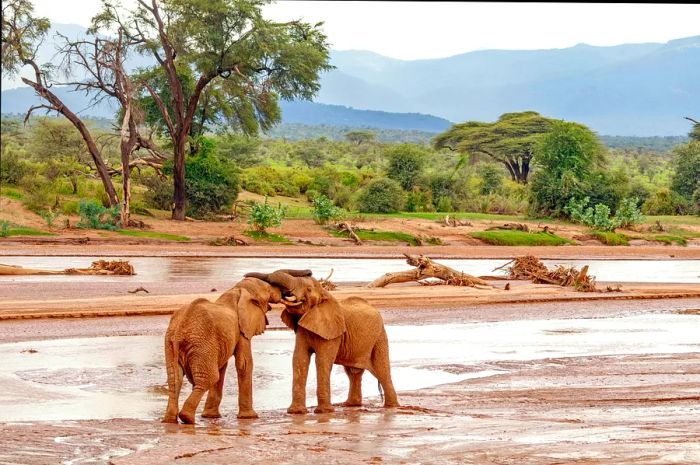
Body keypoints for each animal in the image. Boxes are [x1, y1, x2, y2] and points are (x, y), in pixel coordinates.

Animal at [163, 268, 310, 424]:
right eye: (268, 290)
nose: (309, 273)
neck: (237, 289)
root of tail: (179, 331)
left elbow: (223, 366)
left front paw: (211, 416)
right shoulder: (241, 329)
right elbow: (244, 363)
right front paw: (249, 417)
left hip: (173, 344)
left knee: (174, 379)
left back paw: (170, 420)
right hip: (200, 343)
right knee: (208, 378)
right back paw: (187, 418)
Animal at [245, 268, 400, 414]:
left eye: (308, 289)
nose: (308, 271)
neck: (324, 294)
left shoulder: (332, 331)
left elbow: (322, 360)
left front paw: (323, 412)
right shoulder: (303, 330)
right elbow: (299, 359)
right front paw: (296, 412)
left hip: (380, 336)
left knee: (382, 370)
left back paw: (392, 407)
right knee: (353, 372)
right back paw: (351, 405)